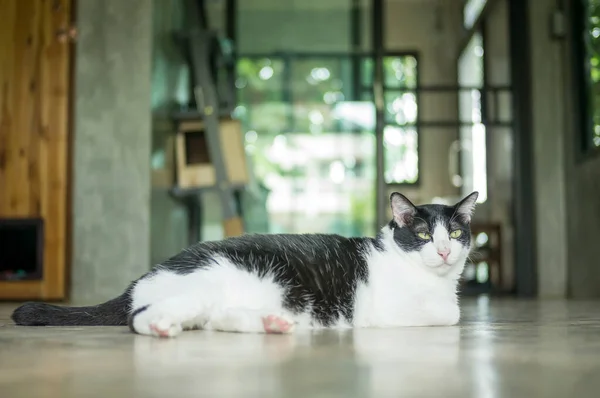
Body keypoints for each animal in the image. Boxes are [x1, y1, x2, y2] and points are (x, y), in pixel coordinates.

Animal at [10, 191, 478, 338]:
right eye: (423, 235)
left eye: (455, 234)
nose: (443, 251)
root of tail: (138, 281)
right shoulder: (405, 311)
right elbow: (449, 315)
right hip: (210, 284)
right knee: (141, 317)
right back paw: (159, 326)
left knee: (218, 319)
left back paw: (273, 324)